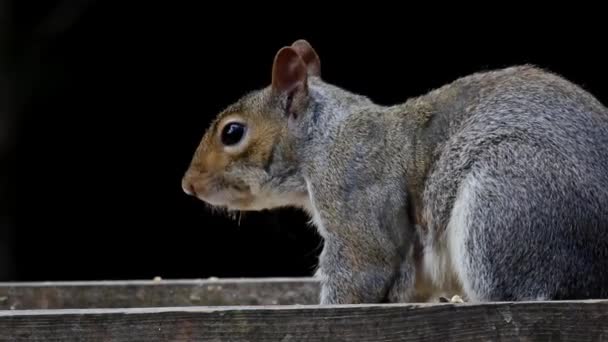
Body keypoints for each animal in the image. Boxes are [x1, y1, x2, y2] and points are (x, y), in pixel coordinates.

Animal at [183, 40, 608, 304]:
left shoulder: (352, 186)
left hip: (507, 196)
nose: (188, 185)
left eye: (232, 132)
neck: (322, 138)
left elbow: (363, 267)